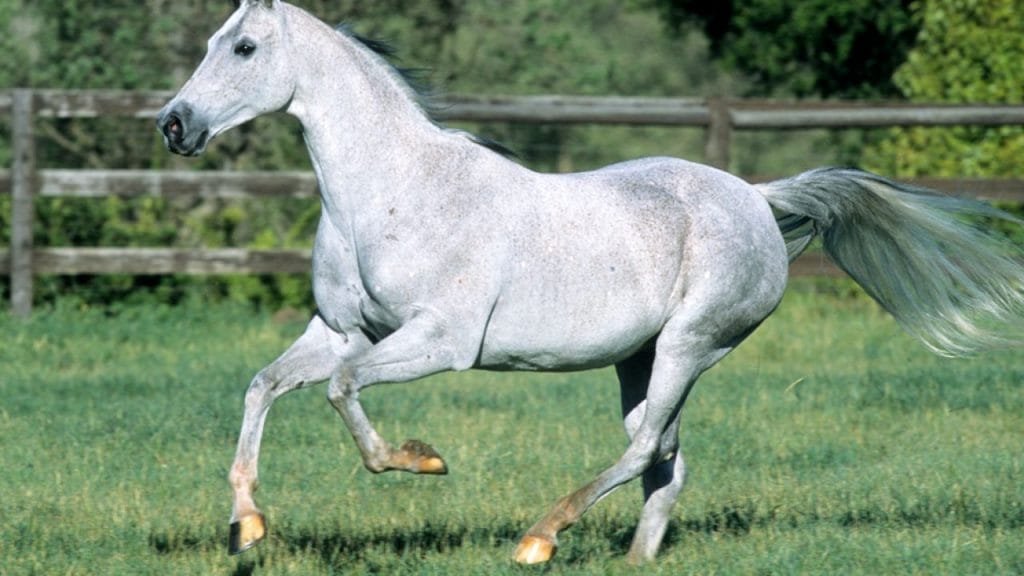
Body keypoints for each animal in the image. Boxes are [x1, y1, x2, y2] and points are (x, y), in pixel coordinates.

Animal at [157, 0, 1024, 565]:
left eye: (243, 49)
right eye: (214, 41)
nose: (174, 125)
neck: (396, 191)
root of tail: (756, 196)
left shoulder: (437, 342)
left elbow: (343, 394)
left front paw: (422, 461)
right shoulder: (340, 331)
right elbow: (264, 387)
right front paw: (247, 525)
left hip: (689, 346)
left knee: (644, 450)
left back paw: (540, 537)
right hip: (639, 358)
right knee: (667, 461)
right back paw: (628, 558)